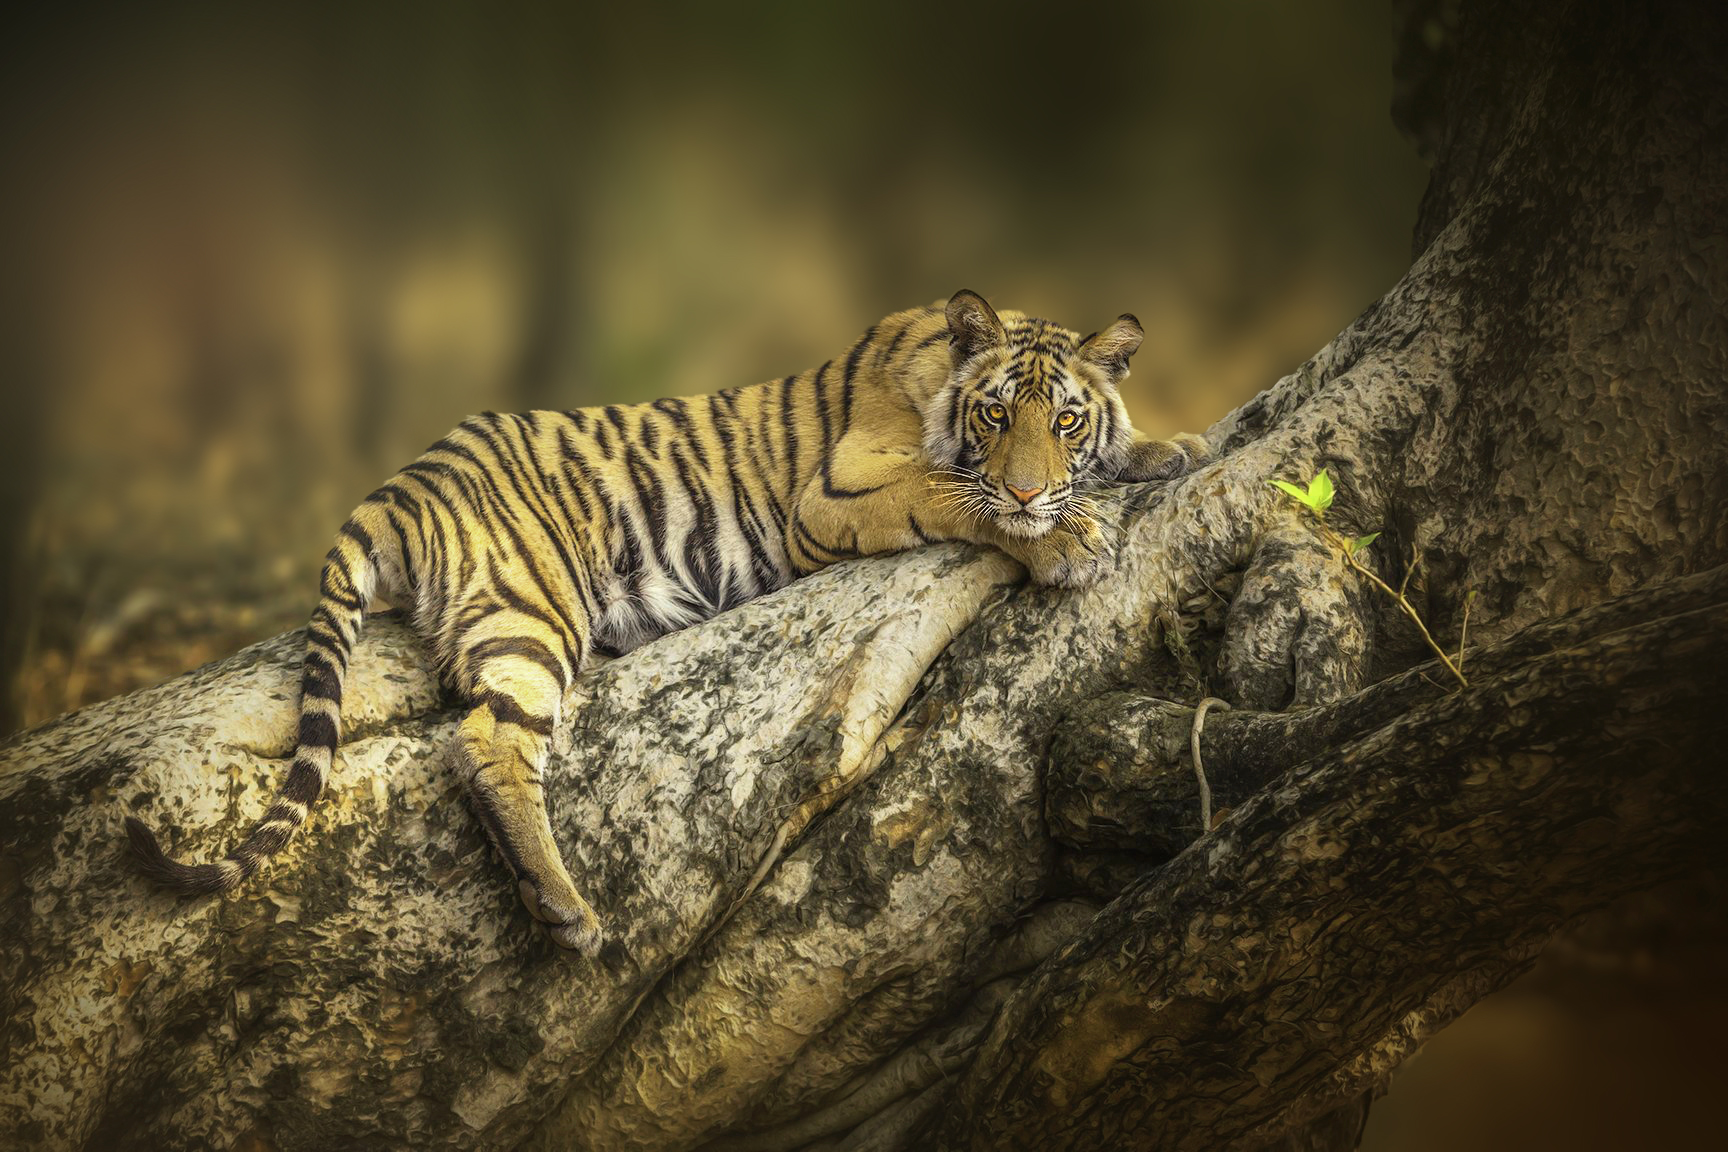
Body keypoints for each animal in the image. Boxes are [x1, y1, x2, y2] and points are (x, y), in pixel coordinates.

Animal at [124, 289, 1209, 954]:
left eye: (1066, 418)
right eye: (994, 416)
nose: (1032, 485)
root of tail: (395, 487)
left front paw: (1169, 448)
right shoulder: (837, 498)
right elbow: (958, 497)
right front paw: (1062, 536)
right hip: (537, 608)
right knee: (484, 744)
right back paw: (569, 914)